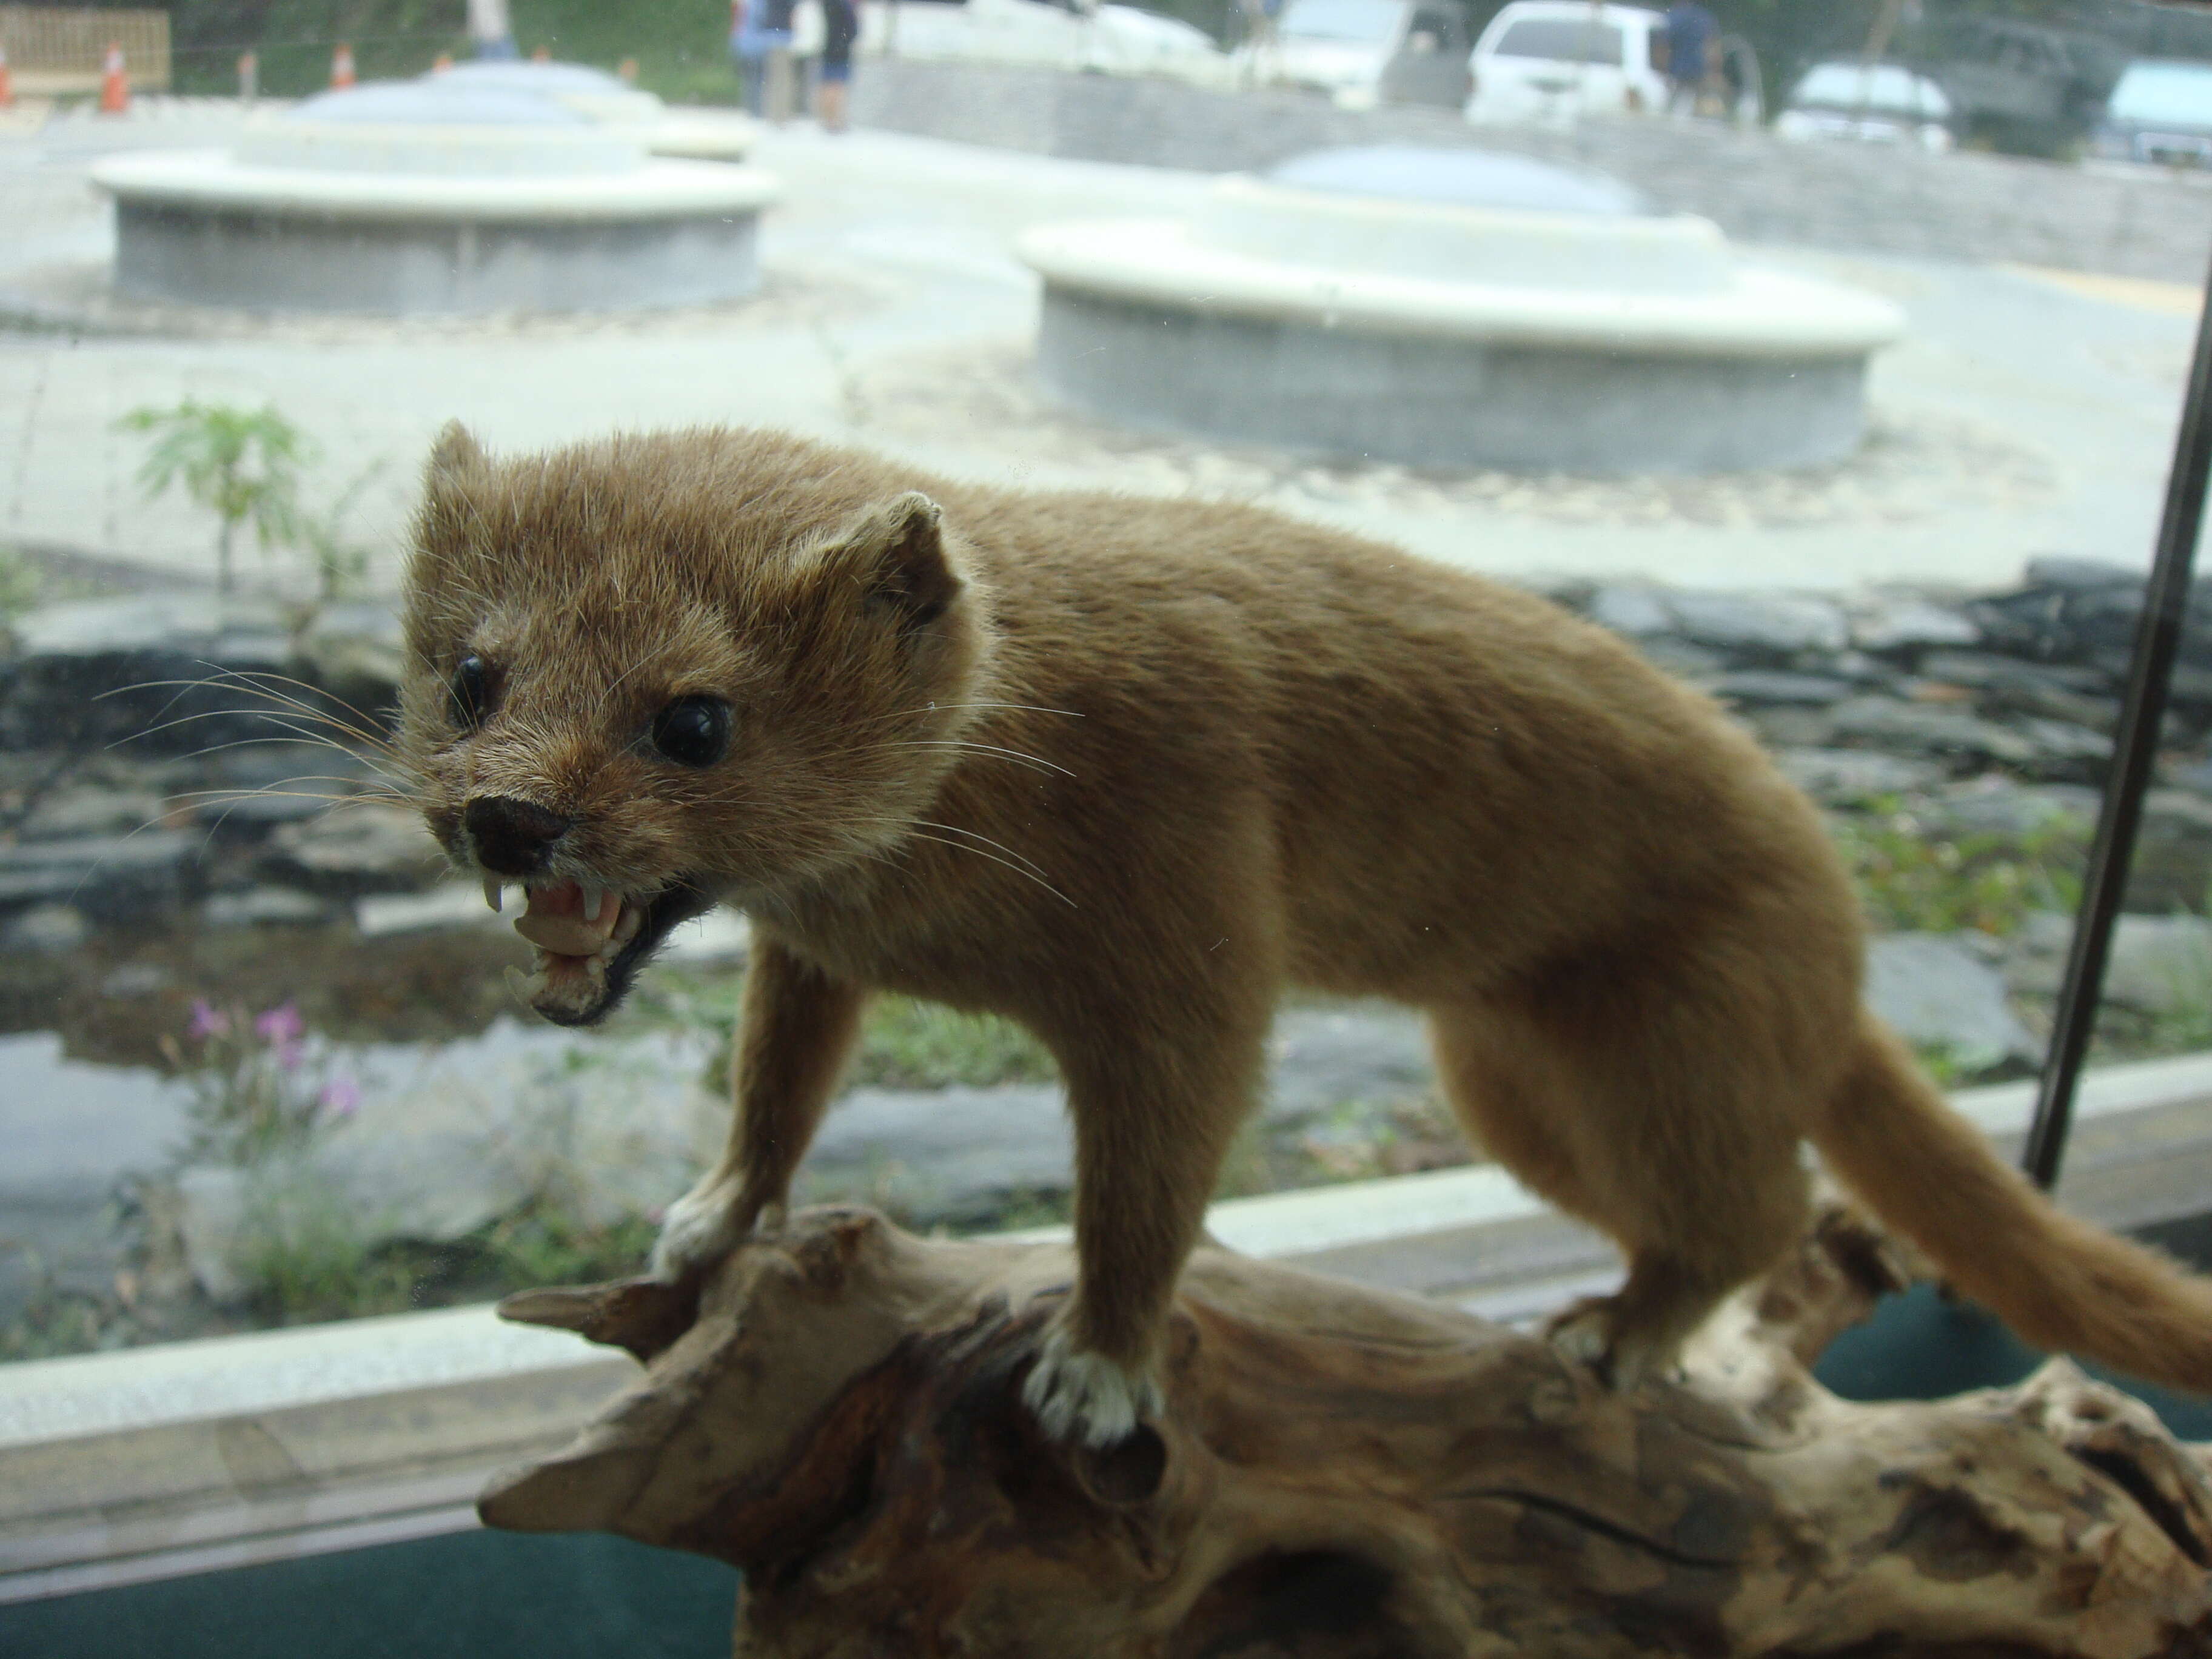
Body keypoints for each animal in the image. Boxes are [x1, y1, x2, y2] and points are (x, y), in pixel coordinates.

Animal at [402, 422, 2212, 1451]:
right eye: (470, 672)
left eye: (694, 718)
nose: (506, 817)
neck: (933, 910)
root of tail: (1843, 932)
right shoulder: (820, 942)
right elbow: (779, 1077)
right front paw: (711, 1219)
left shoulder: (1194, 917)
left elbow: (1155, 1179)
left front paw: (1098, 1372)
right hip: (1503, 1076)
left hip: (1682, 1033)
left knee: (1765, 1207)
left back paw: (1614, 1340)